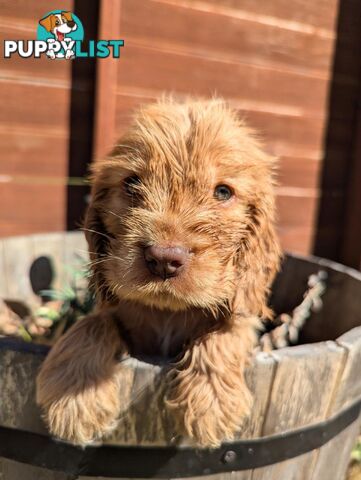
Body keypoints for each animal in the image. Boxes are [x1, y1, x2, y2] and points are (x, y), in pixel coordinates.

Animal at [36, 97, 280, 446]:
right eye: (132, 183)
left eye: (223, 192)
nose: (164, 259)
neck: (168, 311)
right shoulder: (116, 310)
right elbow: (95, 322)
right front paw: (74, 395)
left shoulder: (243, 314)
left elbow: (227, 332)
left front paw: (211, 402)